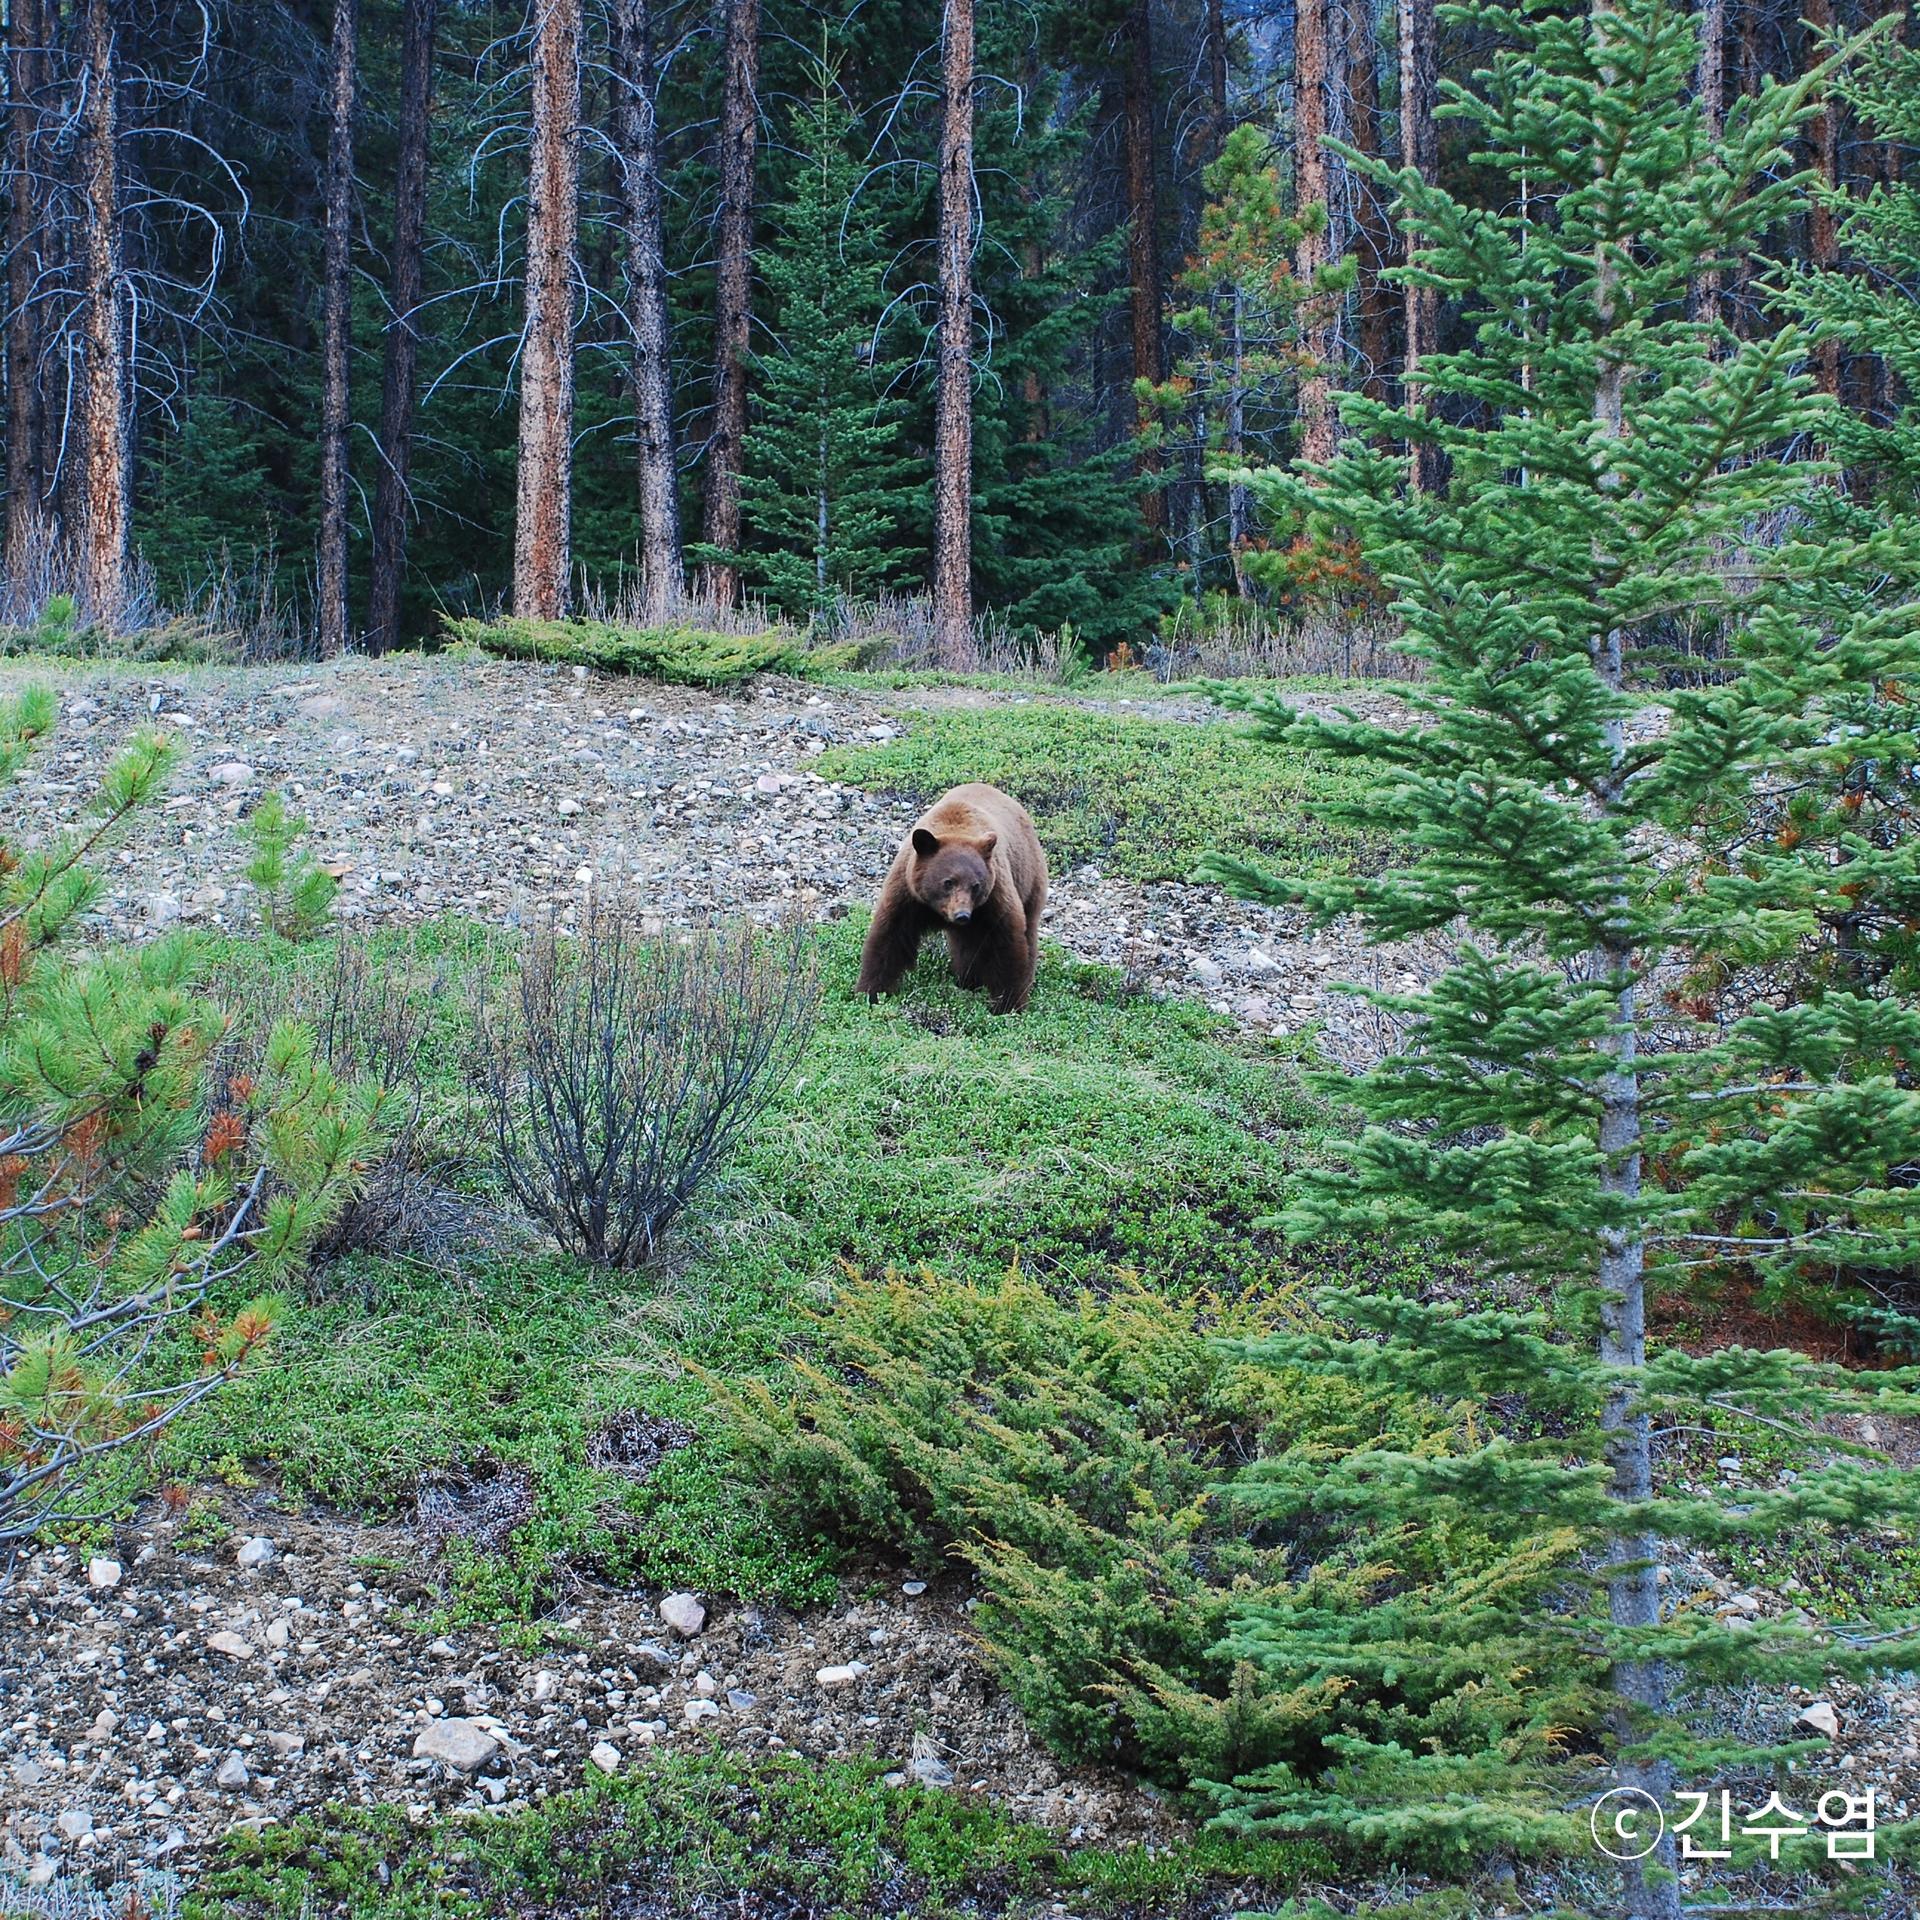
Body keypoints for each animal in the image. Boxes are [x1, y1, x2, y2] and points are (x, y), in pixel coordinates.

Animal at [860, 779, 1052, 1021]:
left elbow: (1007, 942)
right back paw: (968, 980)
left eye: (975, 885)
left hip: (1029, 877)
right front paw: (871, 992)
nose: (962, 915)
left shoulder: (994, 897)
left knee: (1027, 932)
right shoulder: (908, 892)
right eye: (948, 882)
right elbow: (890, 936)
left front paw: (1008, 1005)